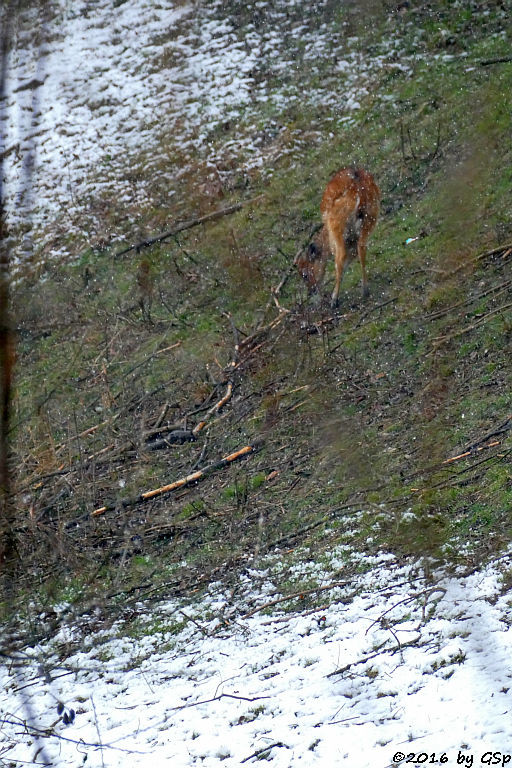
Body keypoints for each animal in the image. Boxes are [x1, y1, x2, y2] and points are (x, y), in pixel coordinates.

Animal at [296, 169, 380, 308]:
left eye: (305, 275)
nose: (311, 291)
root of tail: (359, 191)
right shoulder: (352, 240)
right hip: (369, 220)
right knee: (362, 248)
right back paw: (365, 290)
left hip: (338, 228)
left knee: (340, 258)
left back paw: (334, 300)